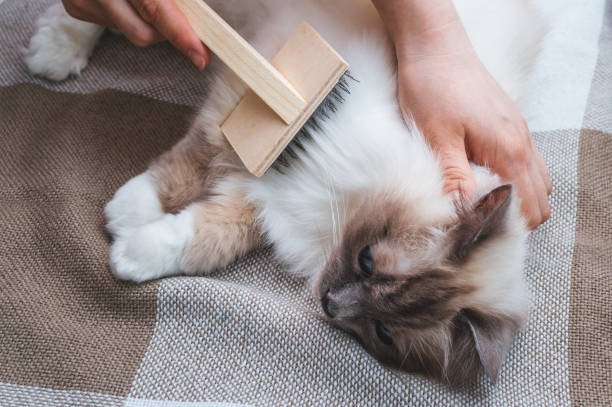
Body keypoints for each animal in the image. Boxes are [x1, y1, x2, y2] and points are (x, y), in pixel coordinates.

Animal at [26, 0, 548, 388]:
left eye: (382, 332)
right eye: (367, 260)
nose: (331, 304)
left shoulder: (269, 202)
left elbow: (204, 236)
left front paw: (132, 252)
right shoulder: (248, 107)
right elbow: (185, 167)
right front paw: (127, 211)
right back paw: (53, 51)